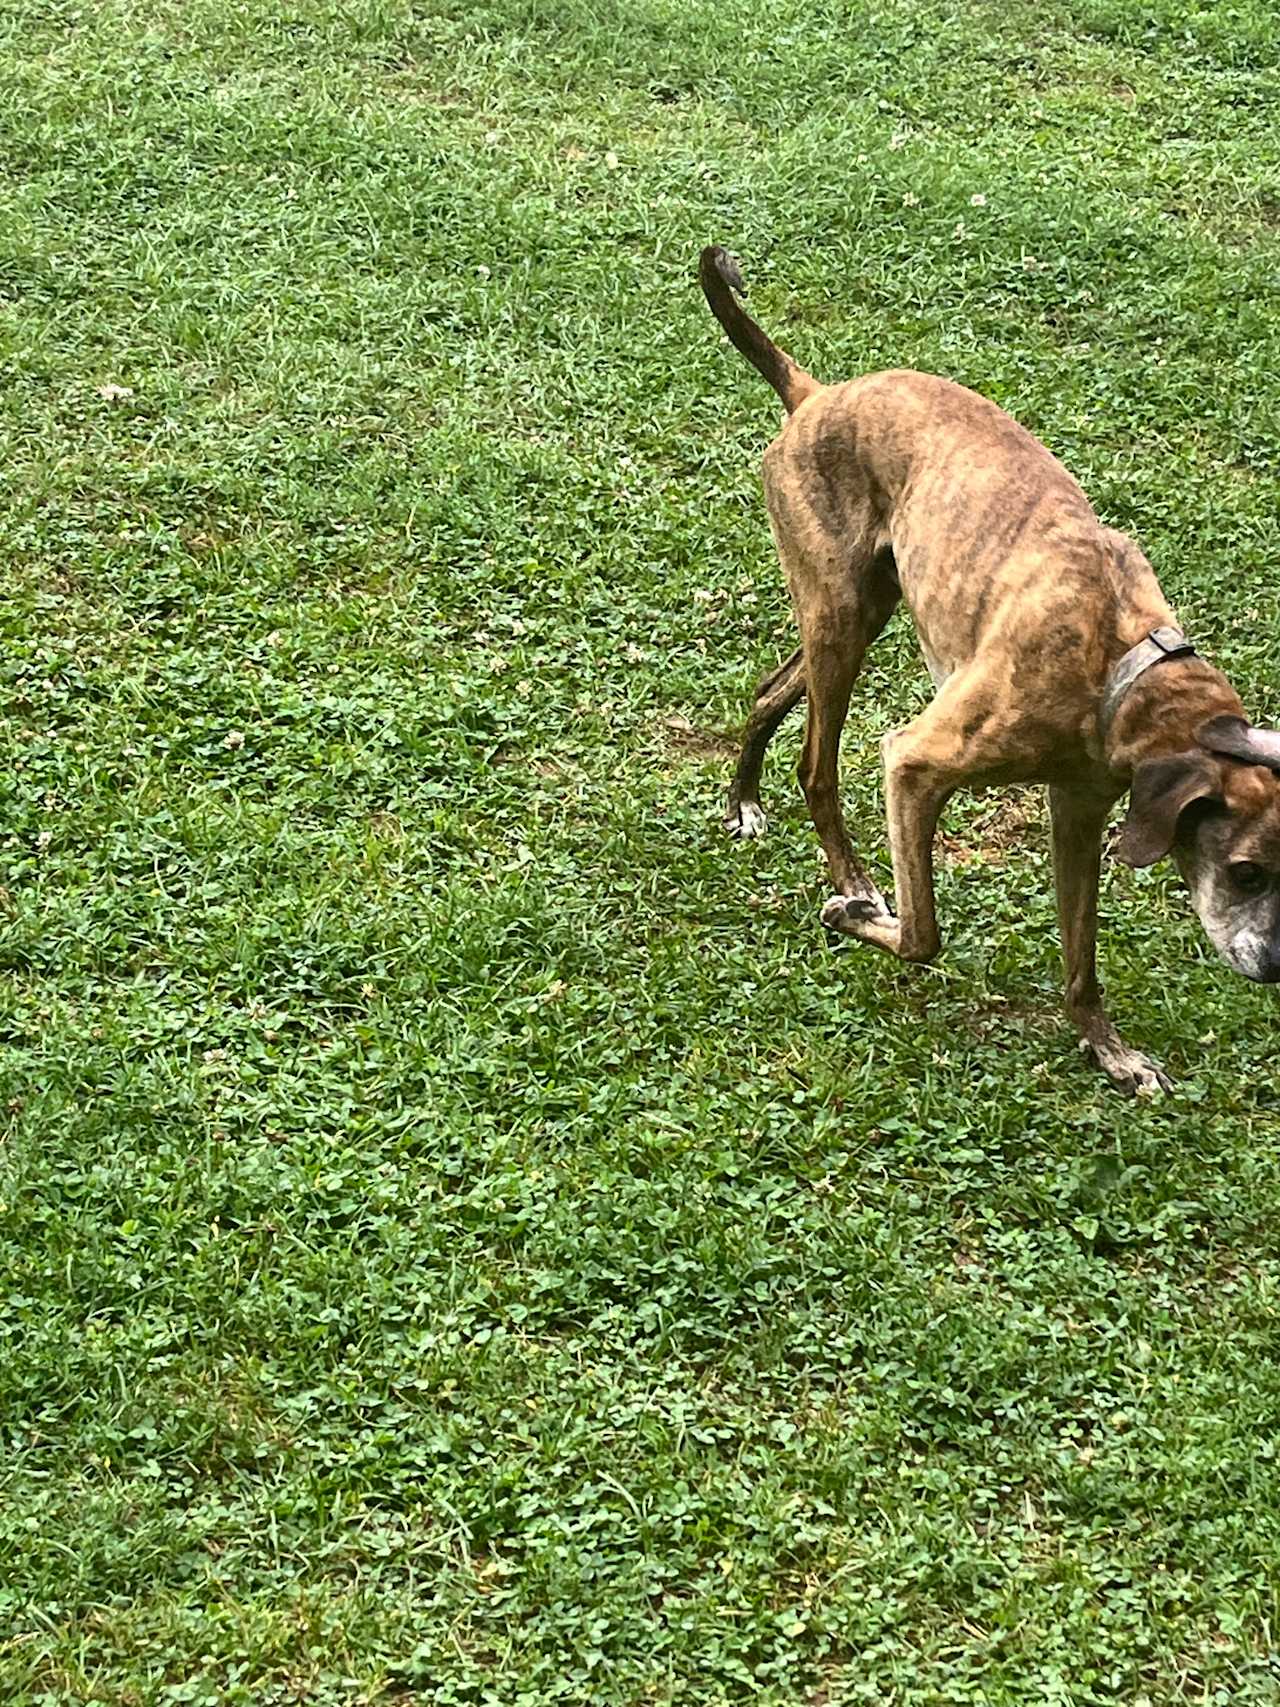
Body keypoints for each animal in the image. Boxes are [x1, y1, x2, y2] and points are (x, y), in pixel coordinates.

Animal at [703, 244, 1280, 1092]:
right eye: (1246, 872)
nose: (1275, 965)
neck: (1122, 666)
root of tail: (815, 394)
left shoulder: (1079, 813)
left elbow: (1080, 959)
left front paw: (1108, 1049)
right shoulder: (916, 763)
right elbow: (922, 933)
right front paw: (860, 916)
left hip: (851, 615)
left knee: (769, 691)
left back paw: (744, 800)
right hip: (840, 624)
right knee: (816, 766)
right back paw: (851, 884)